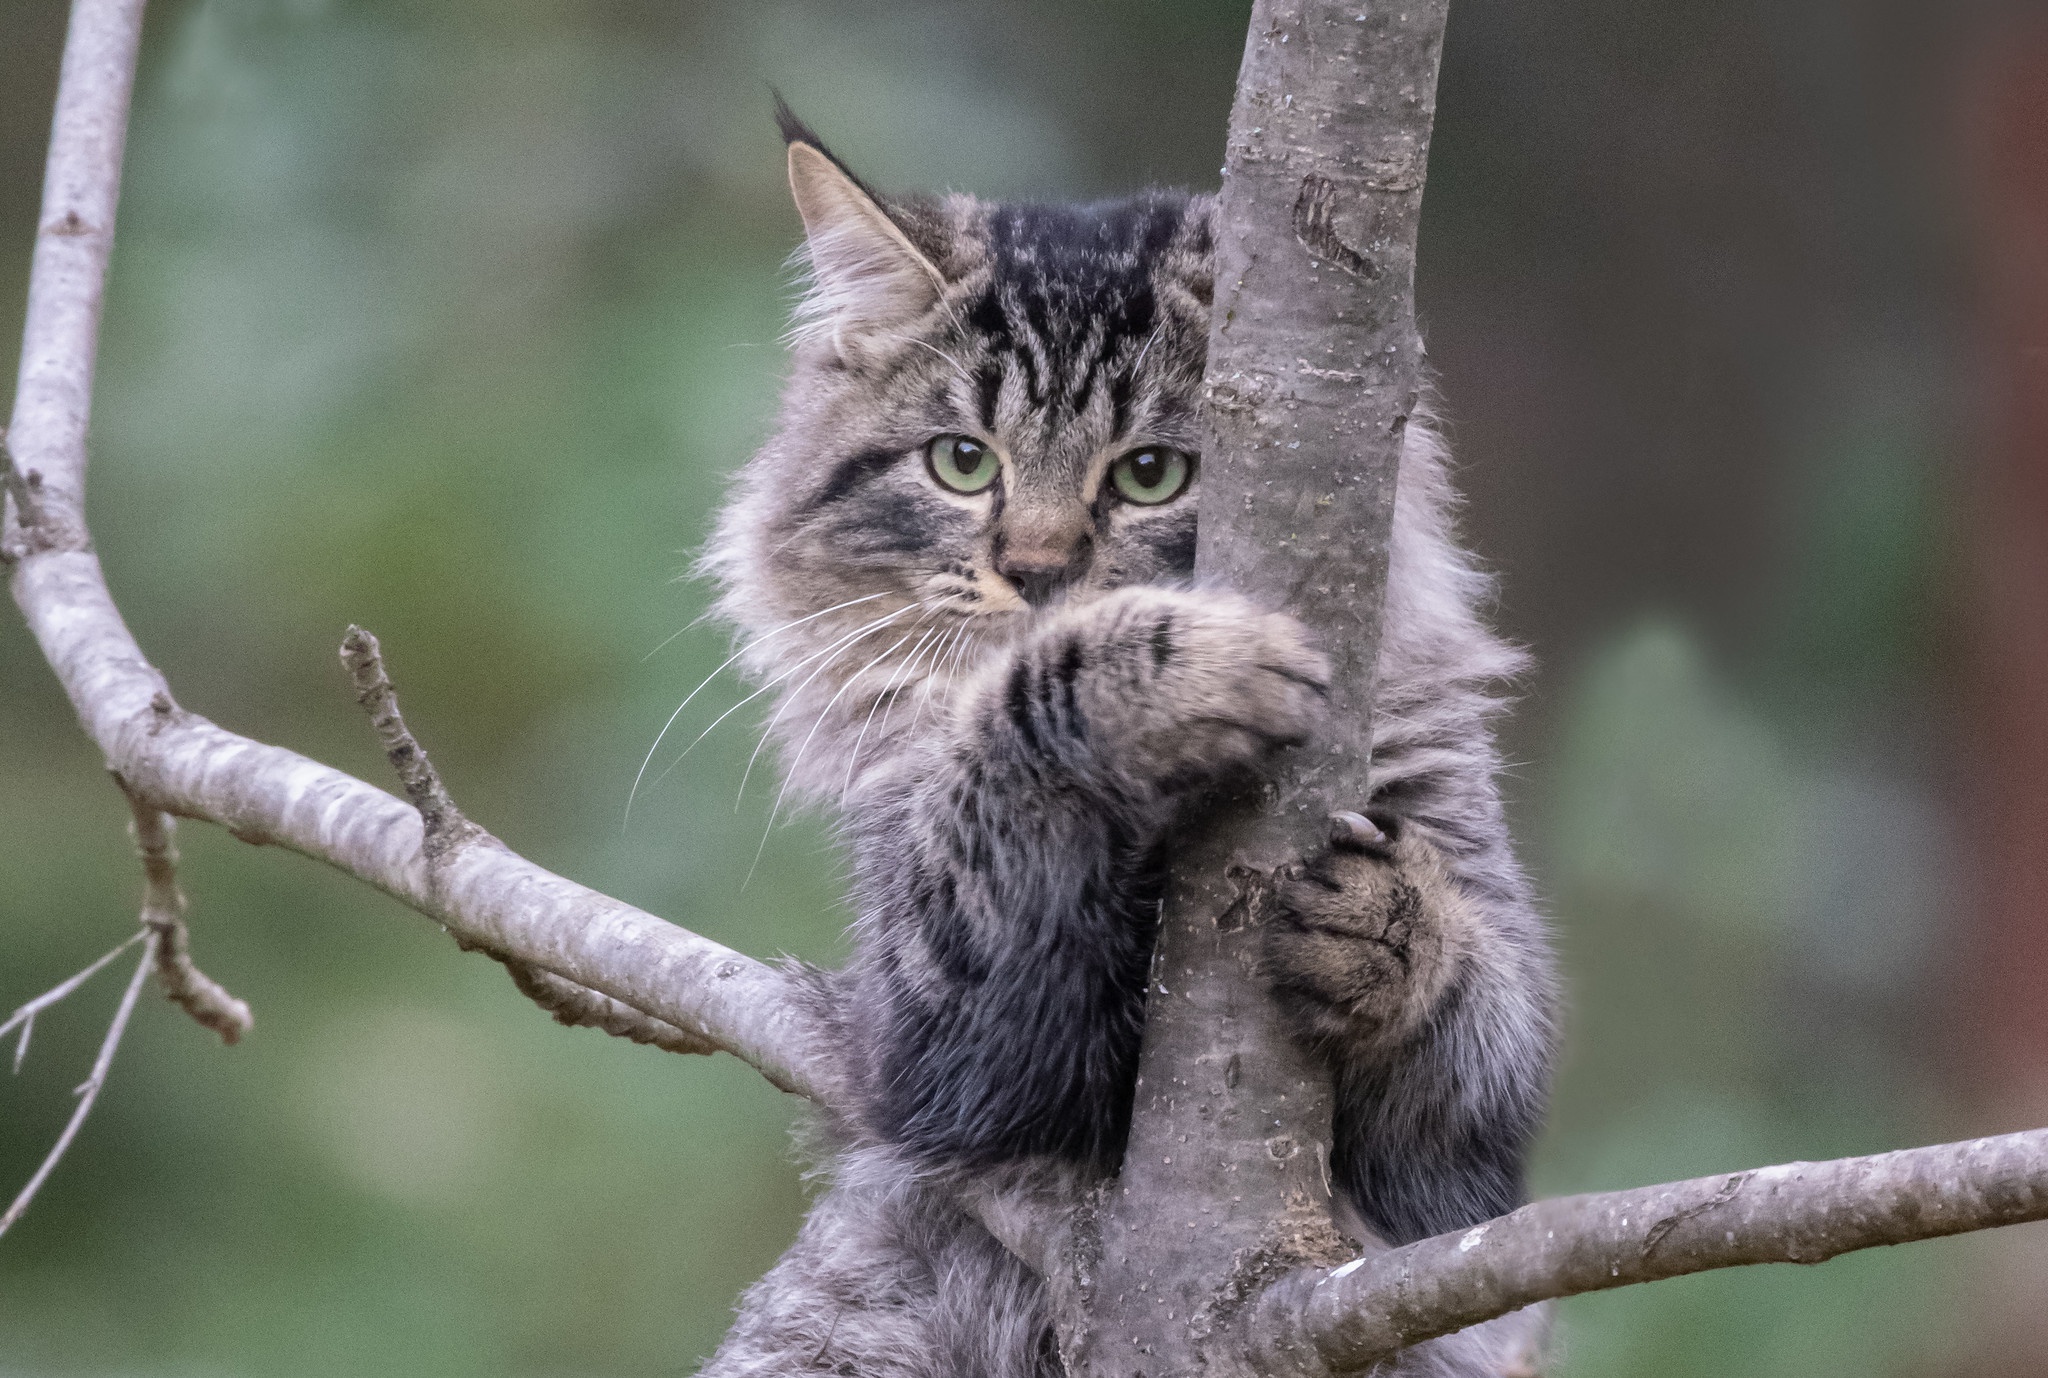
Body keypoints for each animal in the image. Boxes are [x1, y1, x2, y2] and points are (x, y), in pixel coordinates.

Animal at [696, 110, 1556, 1375]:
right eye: (962, 460)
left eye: (1150, 474)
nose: (1039, 571)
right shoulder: (924, 1026)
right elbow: (1020, 738)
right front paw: (1148, 669)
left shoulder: (1459, 1172)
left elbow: (1472, 1016)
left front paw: (1381, 924)